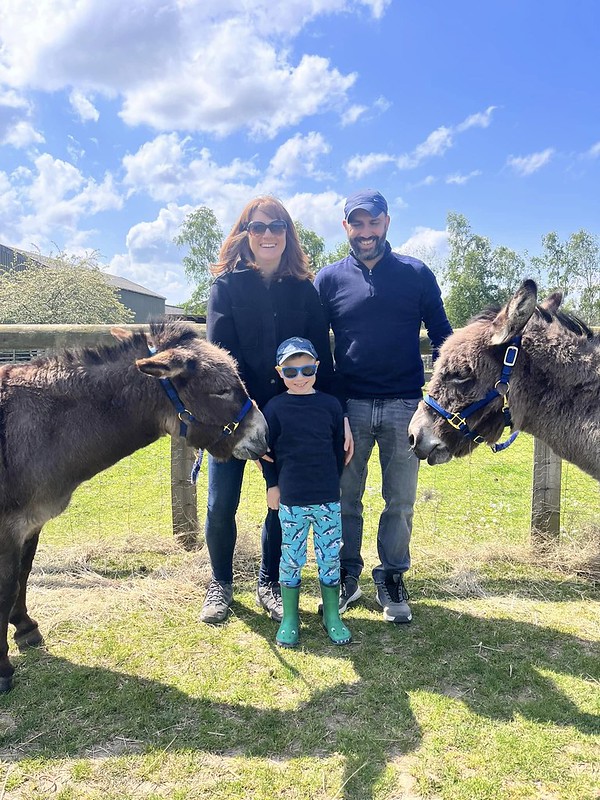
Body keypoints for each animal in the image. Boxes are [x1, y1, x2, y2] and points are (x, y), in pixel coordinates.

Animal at [0, 319, 268, 692]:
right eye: (221, 390)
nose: (265, 435)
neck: (44, 426)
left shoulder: (31, 522)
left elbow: (23, 575)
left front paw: (25, 628)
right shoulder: (8, 527)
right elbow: (6, 585)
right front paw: (2, 669)